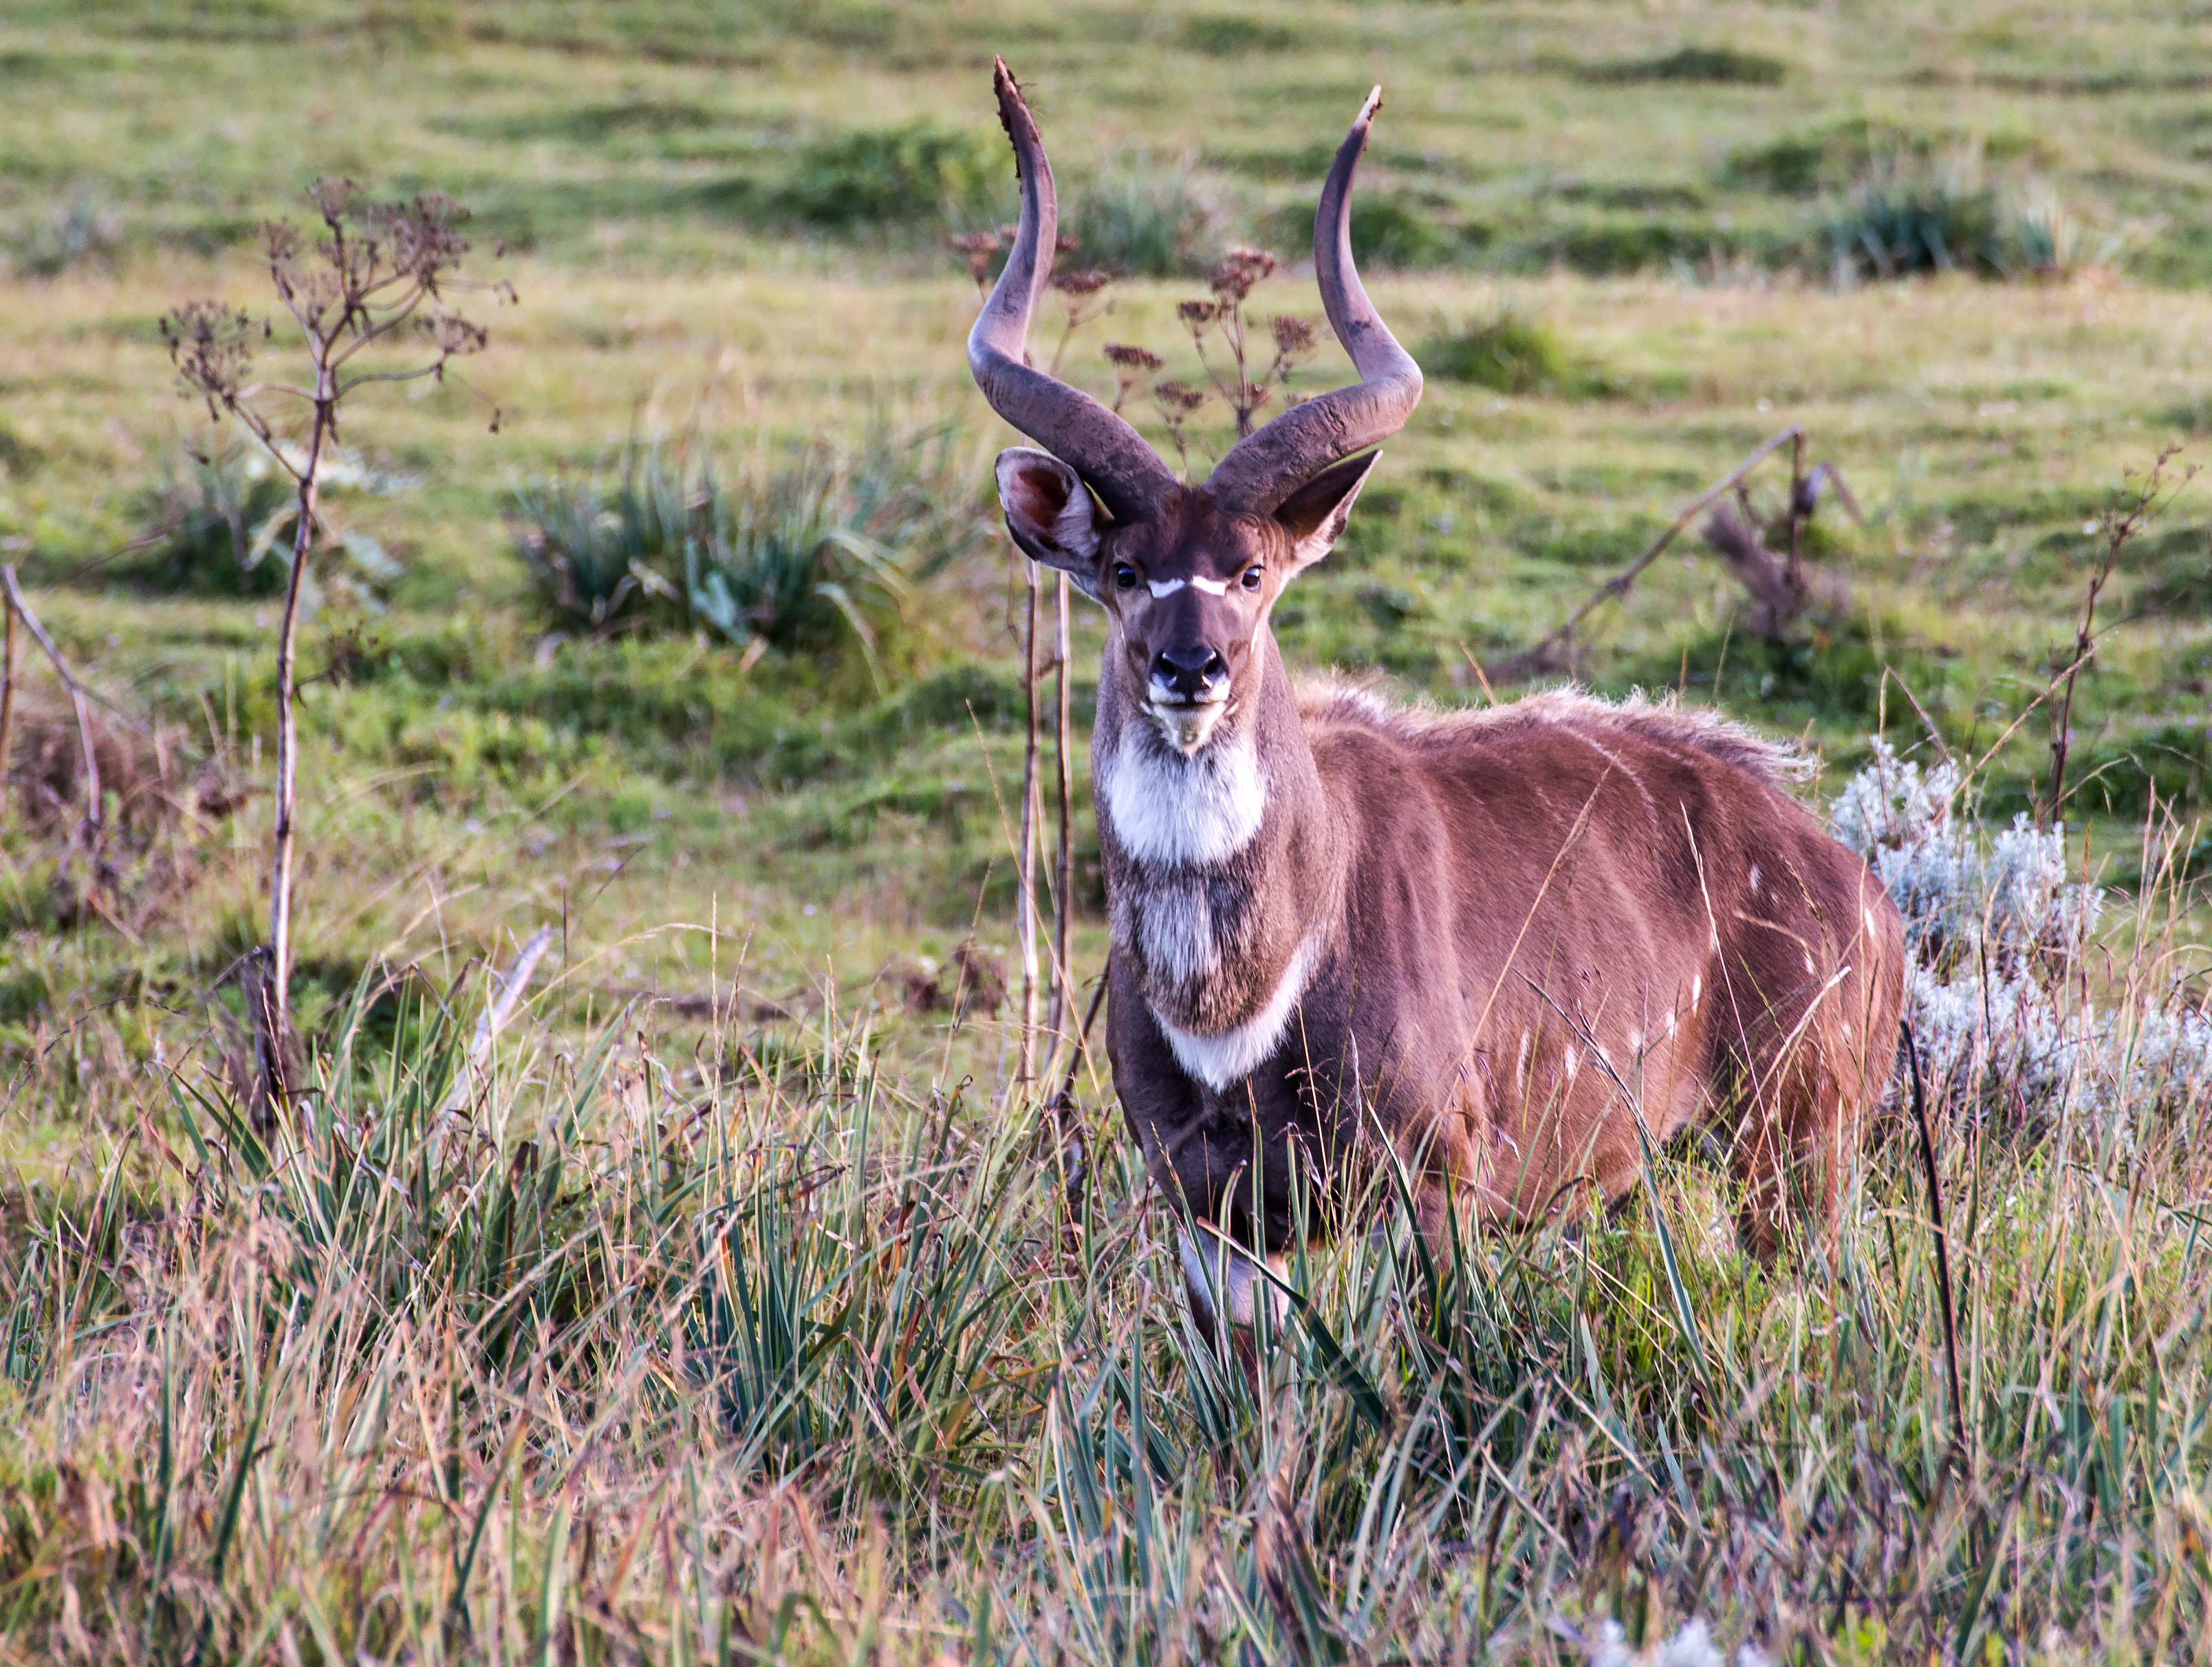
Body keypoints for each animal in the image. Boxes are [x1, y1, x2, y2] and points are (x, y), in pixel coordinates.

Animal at [968, 65, 1902, 1335]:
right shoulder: (1209, 1210)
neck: (1237, 1001)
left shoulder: (1437, 1177)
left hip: (1798, 1145)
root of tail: (1861, 886)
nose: (1190, 669)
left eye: (1252, 573)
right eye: (1121, 572)